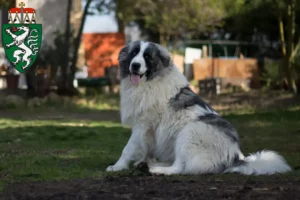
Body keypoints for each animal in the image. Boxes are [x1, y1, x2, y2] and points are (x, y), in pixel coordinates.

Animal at [106, 40, 292, 175]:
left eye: (147, 56)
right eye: (134, 53)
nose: (135, 65)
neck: (151, 80)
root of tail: (236, 156)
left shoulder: (142, 125)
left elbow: (128, 148)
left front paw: (117, 166)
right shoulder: (149, 130)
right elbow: (146, 148)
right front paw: (143, 160)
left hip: (189, 132)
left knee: (180, 168)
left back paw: (157, 169)